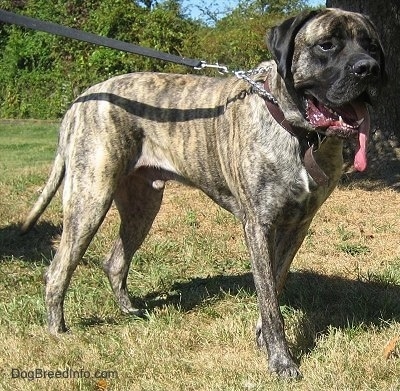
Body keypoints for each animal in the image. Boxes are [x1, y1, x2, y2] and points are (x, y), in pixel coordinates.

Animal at [23, 6, 386, 380]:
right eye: (327, 45)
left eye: (372, 46)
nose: (369, 68)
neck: (299, 133)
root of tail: (83, 97)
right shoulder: (259, 226)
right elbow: (270, 300)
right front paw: (281, 360)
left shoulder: (298, 225)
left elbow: (276, 281)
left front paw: (262, 337)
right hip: (91, 198)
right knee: (58, 269)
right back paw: (58, 331)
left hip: (143, 205)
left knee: (115, 261)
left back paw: (130, 312)